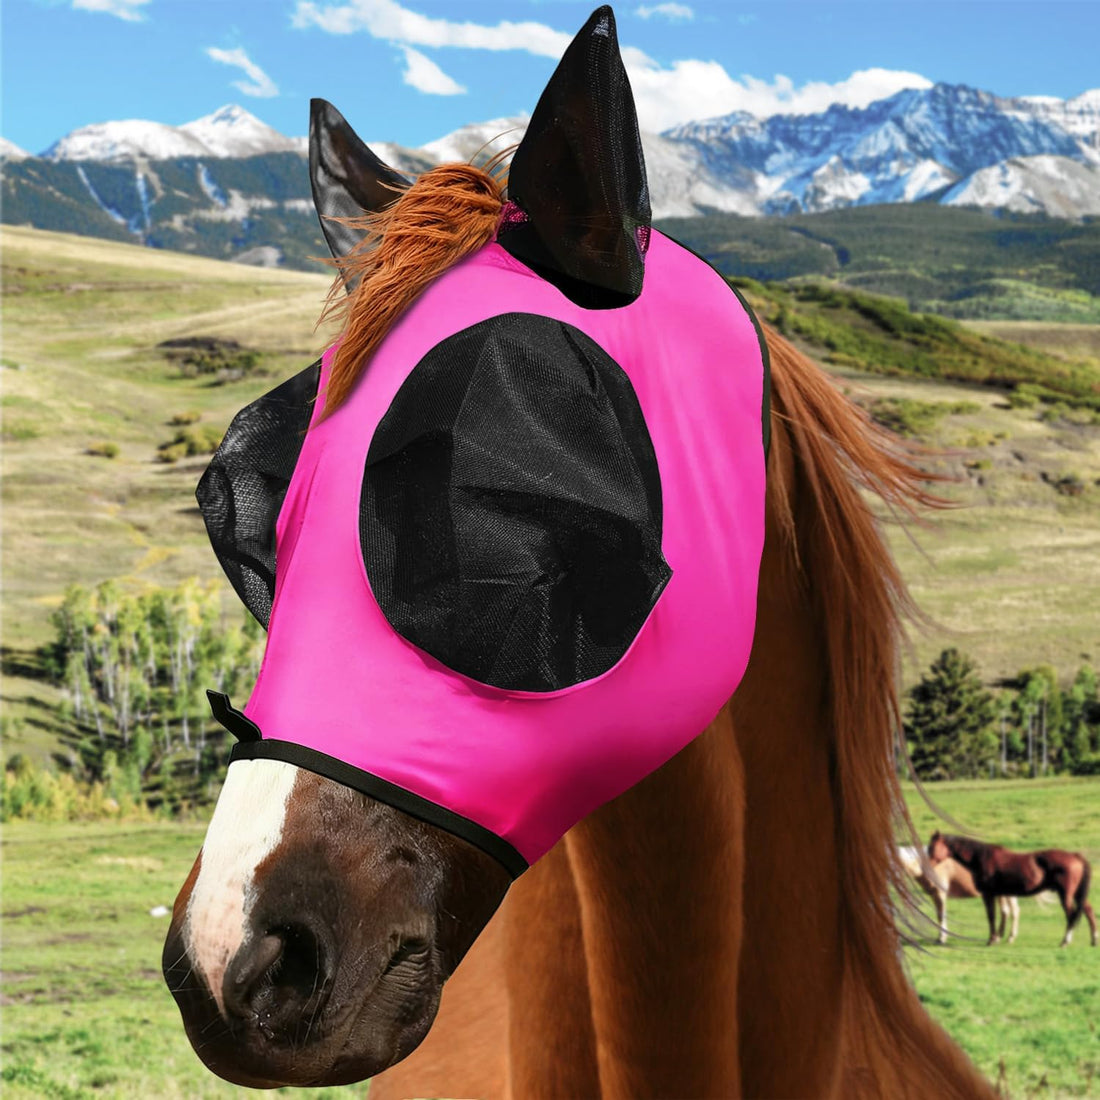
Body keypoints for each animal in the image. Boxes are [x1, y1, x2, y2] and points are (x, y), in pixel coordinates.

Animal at [929, 831, 1096, 948]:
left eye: (932, 847)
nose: (928, 865)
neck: (981, 857)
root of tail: (1075, 856)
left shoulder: (988, 894)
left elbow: (992, 916)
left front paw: (991, 940)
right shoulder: (999, 894)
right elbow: (1002, 914)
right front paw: (998, 938)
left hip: (1066, 895)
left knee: (1071, 915)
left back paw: (1065, 941)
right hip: (1077, 894)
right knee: (1088, 910)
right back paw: (1094, 939)